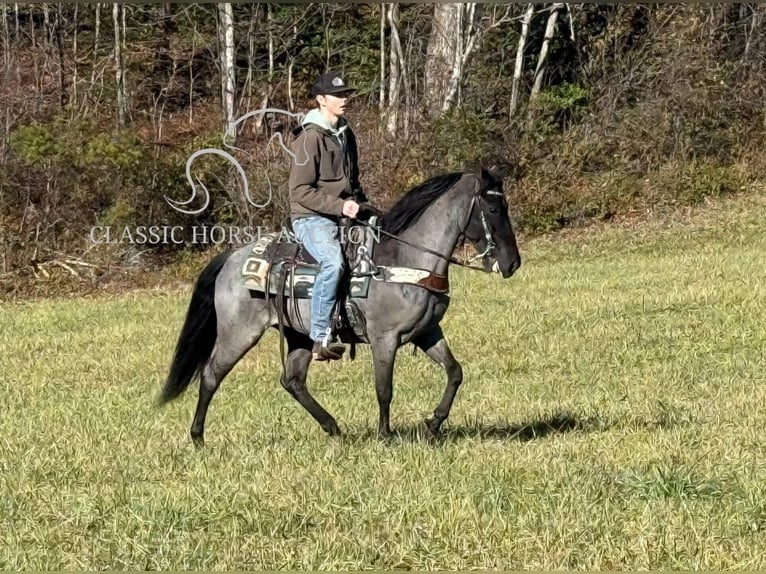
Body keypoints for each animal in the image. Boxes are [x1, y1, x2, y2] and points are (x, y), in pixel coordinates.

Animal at [160, 166, 524, 446]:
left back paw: (333, 428)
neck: (406, 259)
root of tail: (232, 258)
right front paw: (385, 435)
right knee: (211, 375)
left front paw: (433, 424)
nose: (513, 263)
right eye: (494, 209)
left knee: (292, 380)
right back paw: (197, 437)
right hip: (239, 333)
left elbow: (454, 372)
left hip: (300, 336)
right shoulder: (384, 339)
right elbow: (384, 389)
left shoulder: (427, 332)